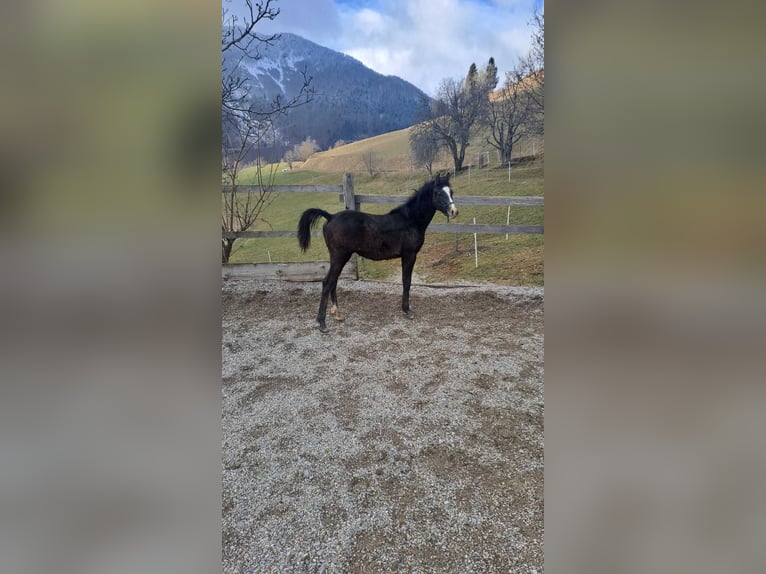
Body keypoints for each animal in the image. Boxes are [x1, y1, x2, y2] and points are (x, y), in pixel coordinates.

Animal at [297, 173, 458, 332]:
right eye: (438, 193)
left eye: (451, 192)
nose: (454, 211)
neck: (410, 220)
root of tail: (330, 216)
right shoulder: (409, 255)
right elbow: (406, 281)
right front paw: (407, 310)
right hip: (340, 256)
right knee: (327, 282)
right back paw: (322, 323)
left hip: (337, 258)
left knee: (333, 282)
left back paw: (337, 314)